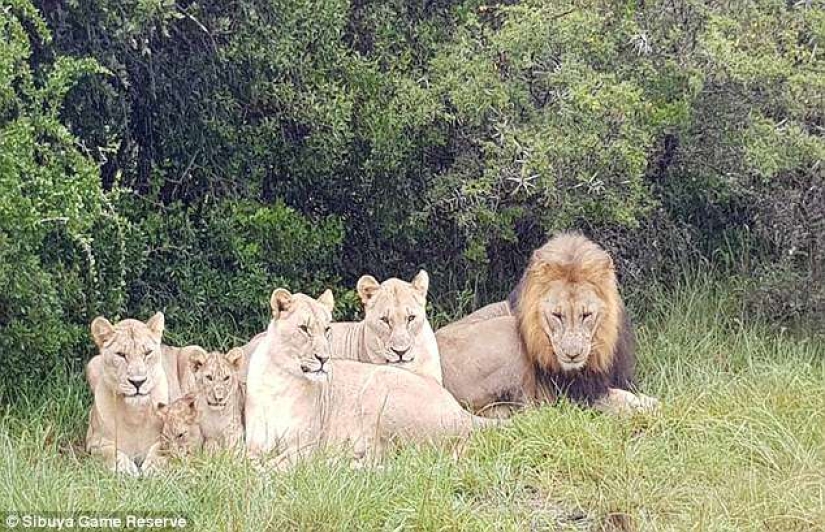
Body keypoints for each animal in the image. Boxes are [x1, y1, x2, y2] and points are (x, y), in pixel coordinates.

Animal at [85, 313, 177, 475]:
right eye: (121, 354)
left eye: (147, 352)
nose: (138, 382)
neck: (135, 414)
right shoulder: (93, 442)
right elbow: (110, 452)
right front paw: (124, 468)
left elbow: (160, 448)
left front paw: (153, 467)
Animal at [245, 288, 499, 468]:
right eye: (304, 328)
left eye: (327, 329)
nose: (324, 358)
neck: (280, 380)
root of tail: (460, 411)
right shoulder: (253, 445)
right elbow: (246, 464)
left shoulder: (307, 445)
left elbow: (275, 466)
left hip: (377, 391)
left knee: (390, 459)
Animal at [437, 233, 659, 416]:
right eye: (557, 315)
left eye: (586, 315)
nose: (572, 355)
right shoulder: (576, 395)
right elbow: (622, 399)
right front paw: (646, 408)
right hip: (508, 330)